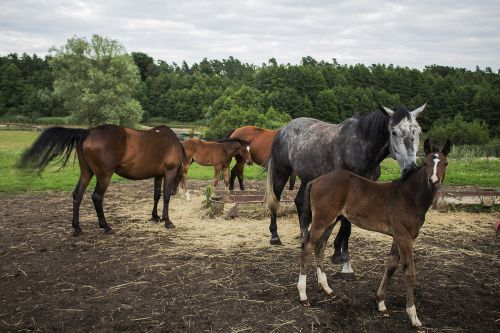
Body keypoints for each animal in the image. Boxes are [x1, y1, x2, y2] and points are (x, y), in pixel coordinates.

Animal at [17, 123, 187, 235]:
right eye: (181, 176)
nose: (176, 191)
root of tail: (89, 132)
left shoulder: (158, 175)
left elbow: (156, 195)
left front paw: (155, 217)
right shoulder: (169, 172)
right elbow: (165, 196)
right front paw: (167, 221)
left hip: (86, 173)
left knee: (77, 195)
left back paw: (77, 228)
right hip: (104, 176)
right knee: (97, 197)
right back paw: (105, 226)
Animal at [266, 105, 426, 276]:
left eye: (418, 131)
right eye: (394, 132)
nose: (410, 168)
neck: (361, 146)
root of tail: (283, 129)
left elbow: (345, 224)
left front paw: (338, 253)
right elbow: (346, 226)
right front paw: (345, 263)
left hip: (307, 178)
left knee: (300, 202)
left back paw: (304, 236)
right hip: (281, 172)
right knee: (275, 200)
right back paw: (275, 237)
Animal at [296, 138, 454, 326]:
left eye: (445, 163)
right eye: (426, 163)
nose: (434, 181)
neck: (408, 198)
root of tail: (316, 180)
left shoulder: (397, 236)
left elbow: (391, 265)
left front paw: (381, 304)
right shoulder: (405, 237)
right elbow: (409, 272)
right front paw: (414, 316)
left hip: (332, 220)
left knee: (319, 246)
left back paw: (327, 288)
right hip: (322, 219)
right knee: (307, 247)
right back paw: (303, 295)